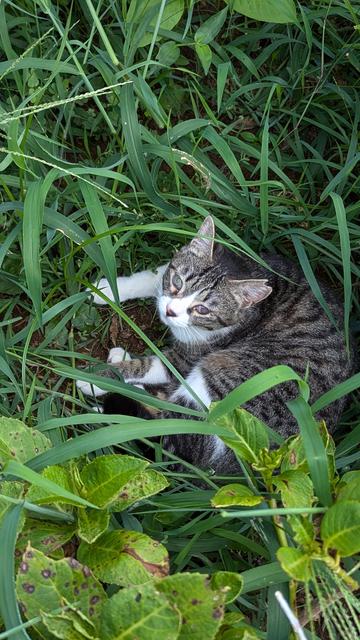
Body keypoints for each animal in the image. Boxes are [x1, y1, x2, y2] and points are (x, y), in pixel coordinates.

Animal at [77, 218, 356, 472]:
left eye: (202, 309)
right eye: (178, 282)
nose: (169, 311)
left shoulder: (187, 359)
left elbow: (146, 366)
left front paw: (94, 379)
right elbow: (152, 277)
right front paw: (107, 289)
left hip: (227, 376)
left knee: (167, 419)